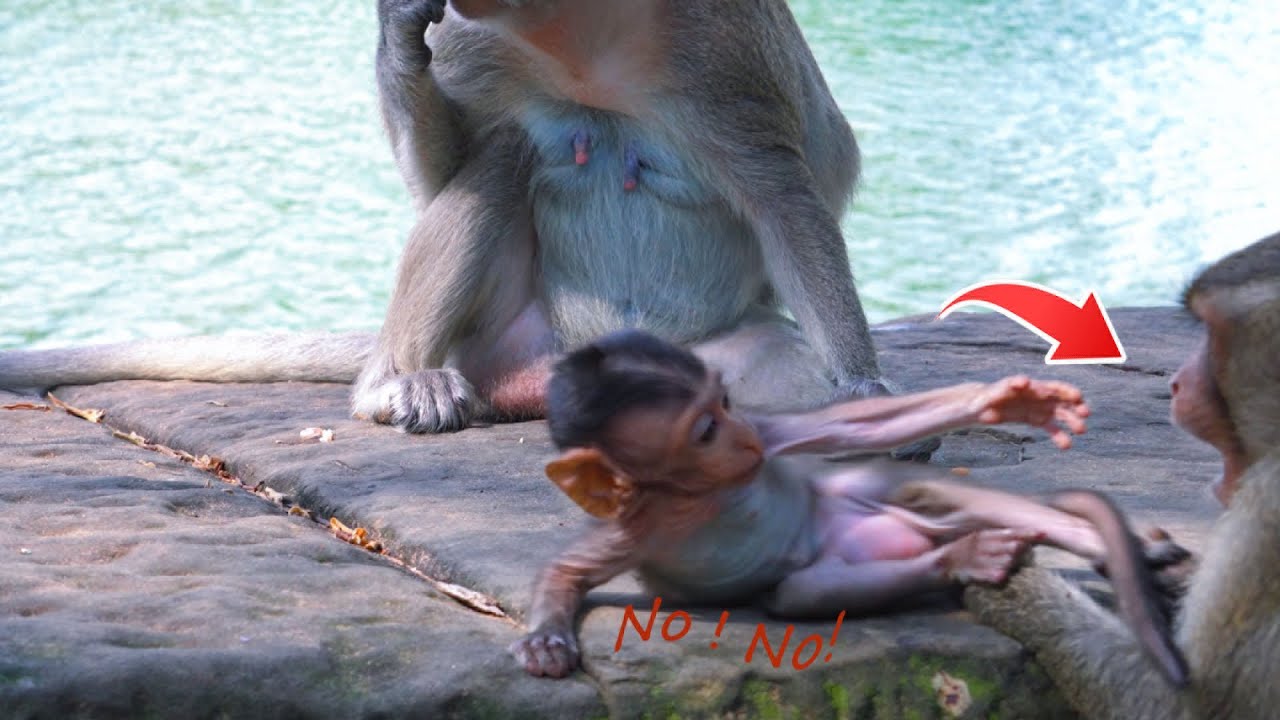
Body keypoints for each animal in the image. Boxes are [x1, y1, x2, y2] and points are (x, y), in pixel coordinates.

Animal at [0, 1, 925, 454]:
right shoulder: (473, 38)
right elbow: (443, 171)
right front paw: (398, 43)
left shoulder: (722, 54)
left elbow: (782, 196)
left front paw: (862, 392)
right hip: (502, 334)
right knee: (505, 157)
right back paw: (394, 384)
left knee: (775, 376)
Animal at [509, 329, 1186, 679]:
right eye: (704, 430)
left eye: (726, 403)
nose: (743, 439)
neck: (699, 496)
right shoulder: (631, 524)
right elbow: (568, 569)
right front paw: (545, 641)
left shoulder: (767, 435)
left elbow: (851, 426)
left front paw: (1002, 401)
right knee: (801, 593)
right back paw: (965, 557)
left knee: (907, 490)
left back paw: (1099, 544)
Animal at [964, 231, 1280, 720]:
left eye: (1212, 334)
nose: (1177, 382)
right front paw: (1167, 569)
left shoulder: (1268, 510)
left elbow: (1188, 705)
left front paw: (1009, 583)